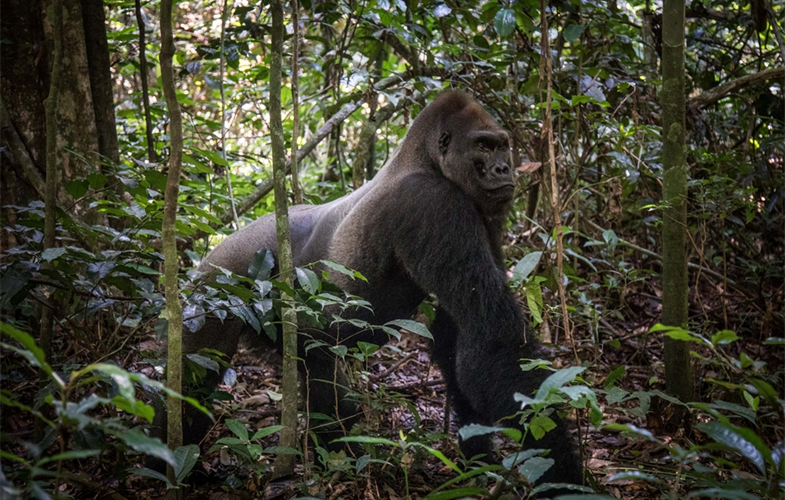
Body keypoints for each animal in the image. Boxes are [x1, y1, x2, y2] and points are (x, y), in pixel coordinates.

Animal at [179, 91, 583, 490]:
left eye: (502, 146)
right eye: (483, 146)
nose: (503, 169)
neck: (422, 160)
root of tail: (211, 254)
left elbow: (458, 346)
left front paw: (479, 462)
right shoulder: (433, 203)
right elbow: (494, 341)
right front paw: (561, 471)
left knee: (317, 368)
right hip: (217, 285)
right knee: (194, 379)